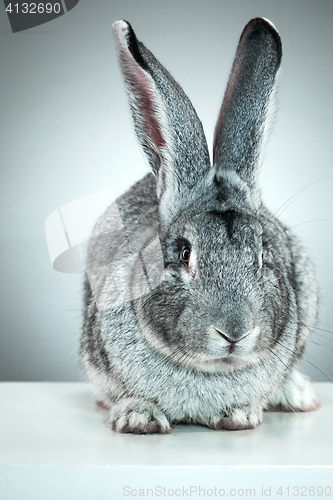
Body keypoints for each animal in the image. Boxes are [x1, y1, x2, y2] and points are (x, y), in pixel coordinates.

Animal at [80, 17, 320, 434]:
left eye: (264, 255)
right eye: (184, 253)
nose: (235, 332)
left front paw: (239, 415)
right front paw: (139, 418)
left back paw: (298, 395)